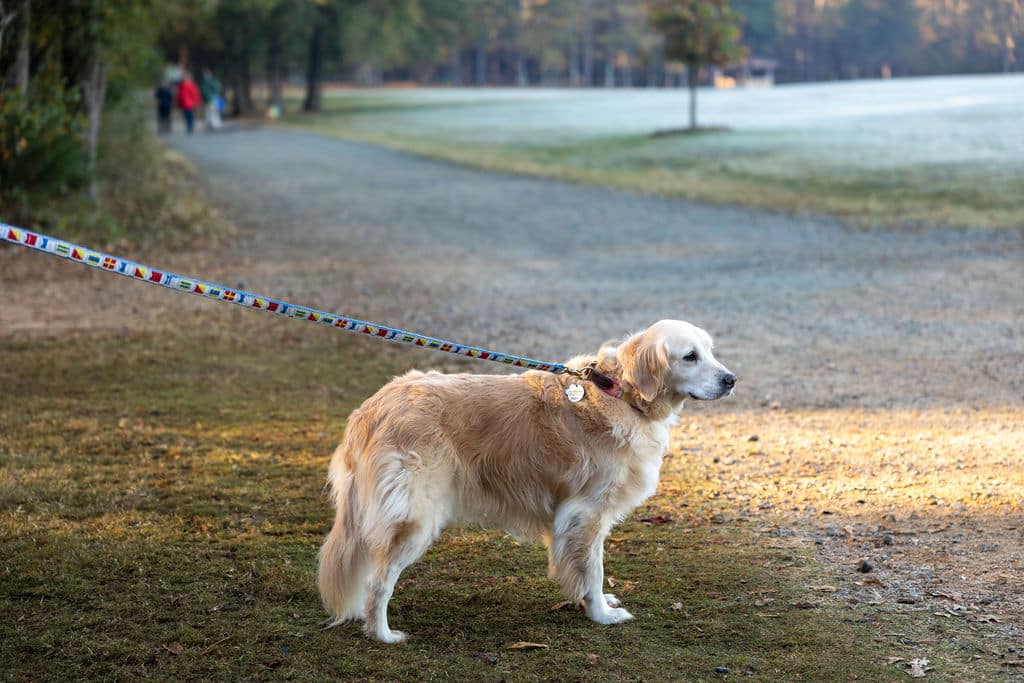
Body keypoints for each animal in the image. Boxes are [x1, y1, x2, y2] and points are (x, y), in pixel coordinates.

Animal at [317, 319, 735, 642]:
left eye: (710, 351)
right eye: (690, 356)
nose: (732, 379)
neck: (620, 394)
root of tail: (373, 408)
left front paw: (592, 601)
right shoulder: (586, 512)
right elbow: (593, 569)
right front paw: (601, 613)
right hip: (414, 518)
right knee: (378, 582)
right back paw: (383, 634)